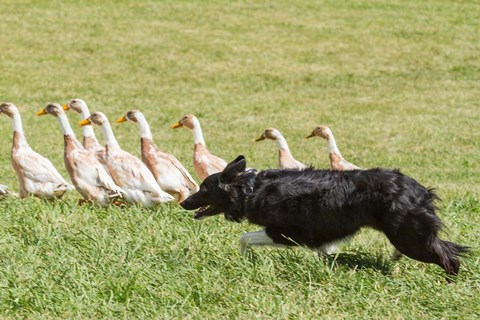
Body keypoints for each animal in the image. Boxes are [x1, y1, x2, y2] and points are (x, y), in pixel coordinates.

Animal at [180, 155, 468, 278]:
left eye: (203, 189)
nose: (183, 202)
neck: (250, 190)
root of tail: (421, 190)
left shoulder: (285, 233)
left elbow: (244, 238)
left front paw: (245, 259)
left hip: (409, 238)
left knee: (450, 257)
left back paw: (448, 283)